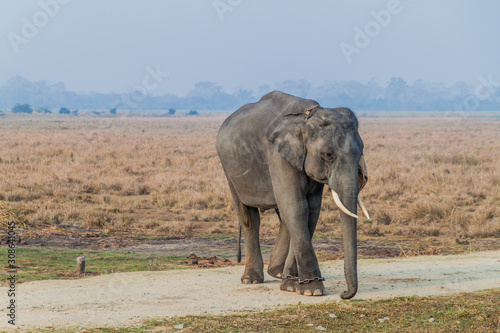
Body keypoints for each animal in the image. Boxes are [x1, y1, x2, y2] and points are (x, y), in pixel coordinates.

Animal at [215, 91, 368, 298]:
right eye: (328, 155)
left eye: (361, 152)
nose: (344, 293)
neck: (306, 117)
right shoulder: (277, 155)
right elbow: (297, 208)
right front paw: (313, 290)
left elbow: (311, 210)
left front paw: (291, 285)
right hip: (228, 169)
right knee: (249, 218)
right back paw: (251, 279)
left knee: (284, 218)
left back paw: (278, 273)